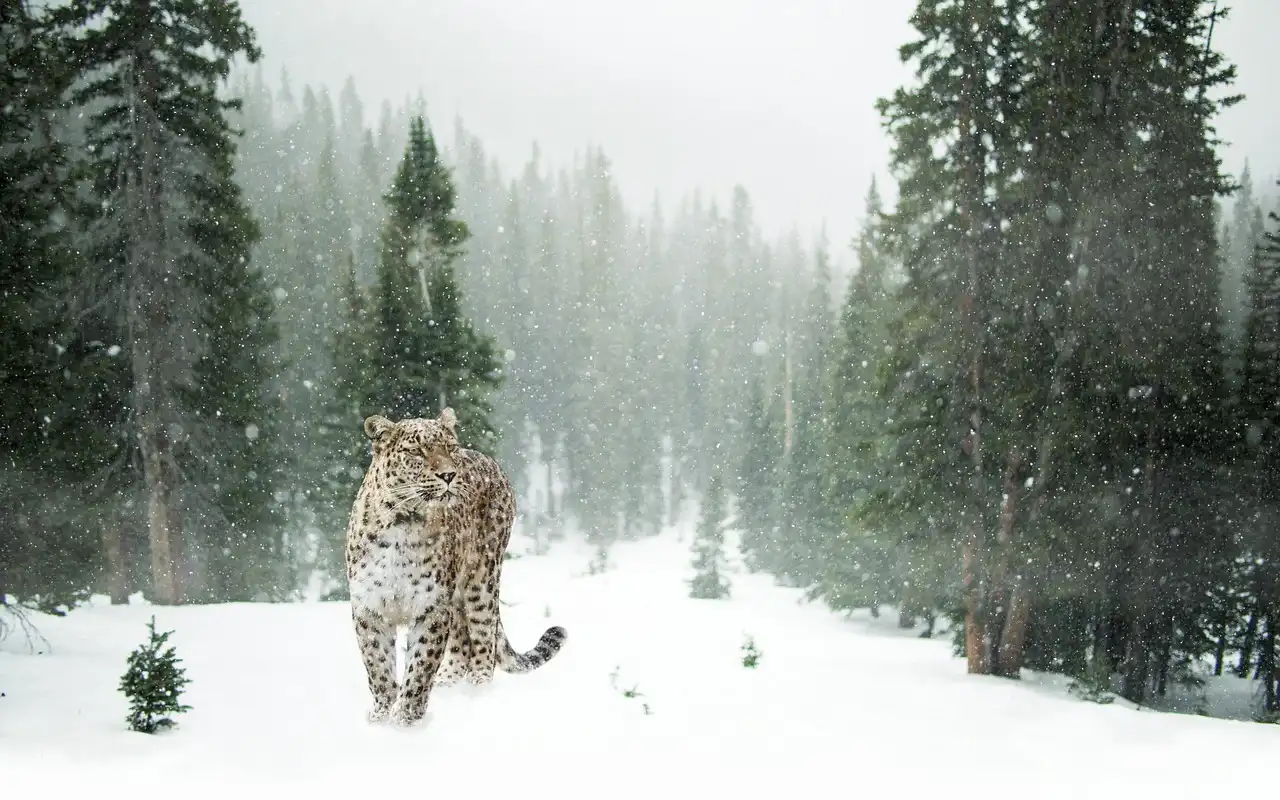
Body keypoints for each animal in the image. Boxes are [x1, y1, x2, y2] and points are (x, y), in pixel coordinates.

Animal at [344, 407, 566, 727]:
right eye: (417, 451)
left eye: (450, 448)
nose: (448, 474)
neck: (403, 523)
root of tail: (491, 461)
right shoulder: (369, 607)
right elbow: (378, 667)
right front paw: (381, 716)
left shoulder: (432, 607)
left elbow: (420, 666)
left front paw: (406, 720)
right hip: (459, 596)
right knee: (462, 641)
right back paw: (448, 684)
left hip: (482, 580)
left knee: (483, 640)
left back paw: (477, 693)